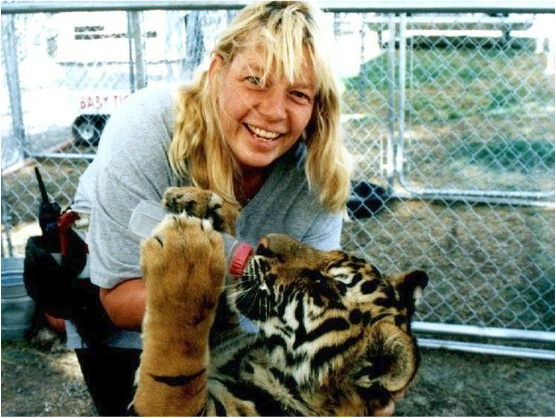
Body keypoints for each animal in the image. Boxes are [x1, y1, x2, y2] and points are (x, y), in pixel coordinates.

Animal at [130, 187, 428, 417]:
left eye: (324, 284)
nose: (263, 242)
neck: (260, 358)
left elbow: (178, 358)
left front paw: (188, 249)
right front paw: (197, 201)